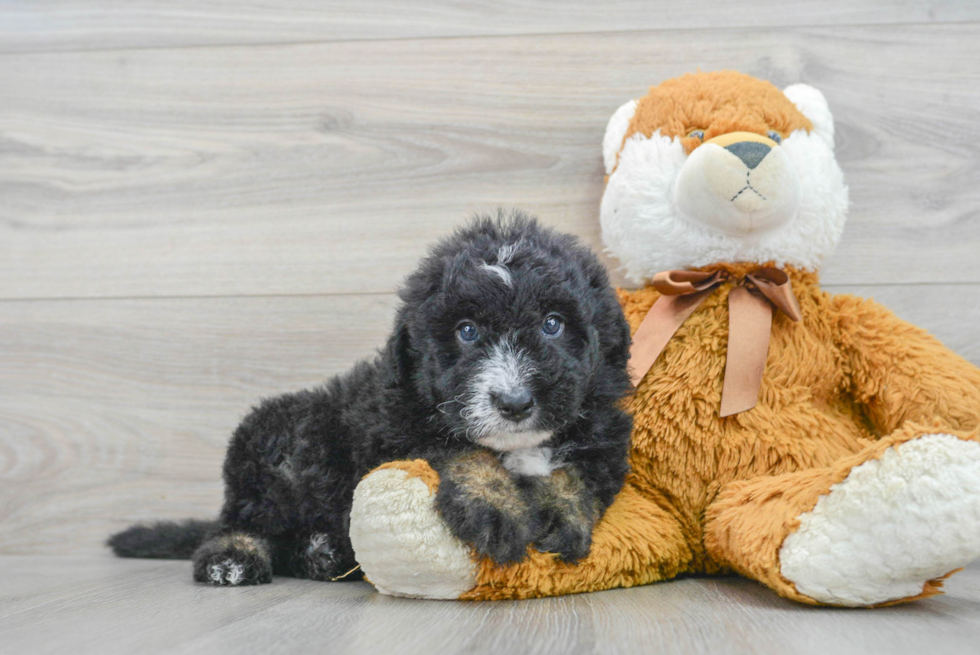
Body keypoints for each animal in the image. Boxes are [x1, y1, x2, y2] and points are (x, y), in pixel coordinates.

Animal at [111, 213, 632, 588]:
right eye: (466, 332)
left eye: (552, 324)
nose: (515, 402)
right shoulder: (396, 430)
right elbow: (458, 450)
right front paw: (496, 507)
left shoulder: (603, 433)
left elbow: (575, 471)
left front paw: (564, 514)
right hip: (274, 447)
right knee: (240, 520)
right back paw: (235, 556)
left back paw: (323, 554)